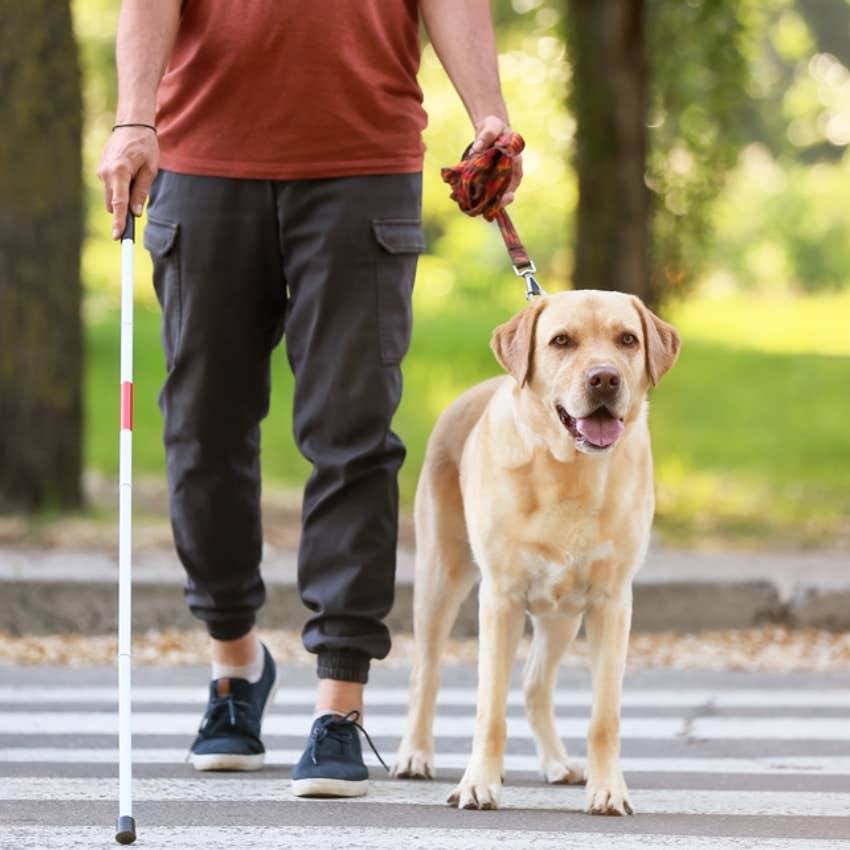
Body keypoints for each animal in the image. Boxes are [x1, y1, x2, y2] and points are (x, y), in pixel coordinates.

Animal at [394, 290, 680, 816]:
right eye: (561, 341)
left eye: (627, 339)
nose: (605, 378)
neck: (569, 470)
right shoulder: (499, 599)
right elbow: (488, 708)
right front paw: (478, 784)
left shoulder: (612, 603)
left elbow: (604, 716)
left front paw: (608, 789)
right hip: (439, 575)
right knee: (426, 673)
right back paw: (415, 755)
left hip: (562, 613)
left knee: (533, 685)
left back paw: (557, 763)